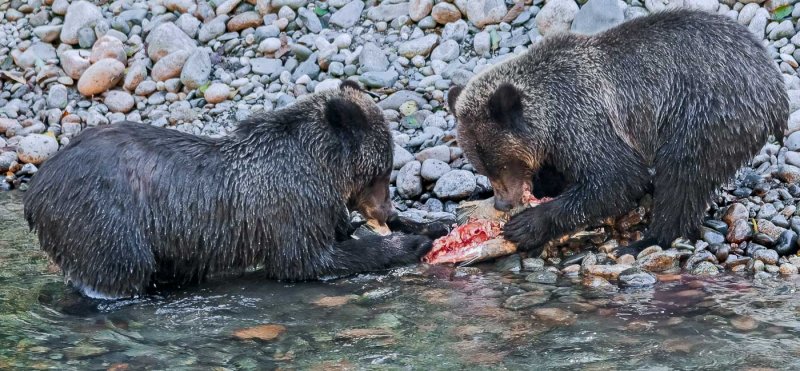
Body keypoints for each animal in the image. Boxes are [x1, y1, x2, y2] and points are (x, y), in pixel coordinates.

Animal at [23, 81, 444, 300]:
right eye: (382, 170)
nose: (386, 211)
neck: (321, 168)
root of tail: (36, 186)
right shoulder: (291, 202)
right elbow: (307, 260)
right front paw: (404, 245)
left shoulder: (319, 202)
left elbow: (337, 234)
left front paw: (431, 225)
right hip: (101, 217)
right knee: (117, 269)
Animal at [446, 10, 792, 258]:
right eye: (482, 167)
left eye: (501, 164)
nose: (503, 204)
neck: (550, 116)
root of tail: (775, 85)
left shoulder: (586, 117)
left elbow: (616, 178)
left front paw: (525, 225)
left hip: (706, 112)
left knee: (682, 177)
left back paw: (648, 239)